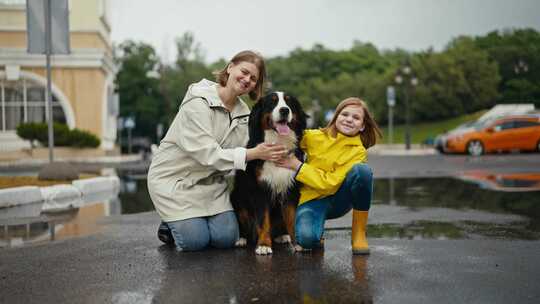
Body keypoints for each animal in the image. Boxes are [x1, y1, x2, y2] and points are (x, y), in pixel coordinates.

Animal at [232, 91, 308, 255]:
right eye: (272, 102)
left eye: (289, 103)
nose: (284, 110)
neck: (278, 144)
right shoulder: (260, 190)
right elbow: (263, 221)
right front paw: (264, 245)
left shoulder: (291, 189)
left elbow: (292, 218)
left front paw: (298, 243)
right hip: (237, 198)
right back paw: (242, 239)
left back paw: (282, 236)